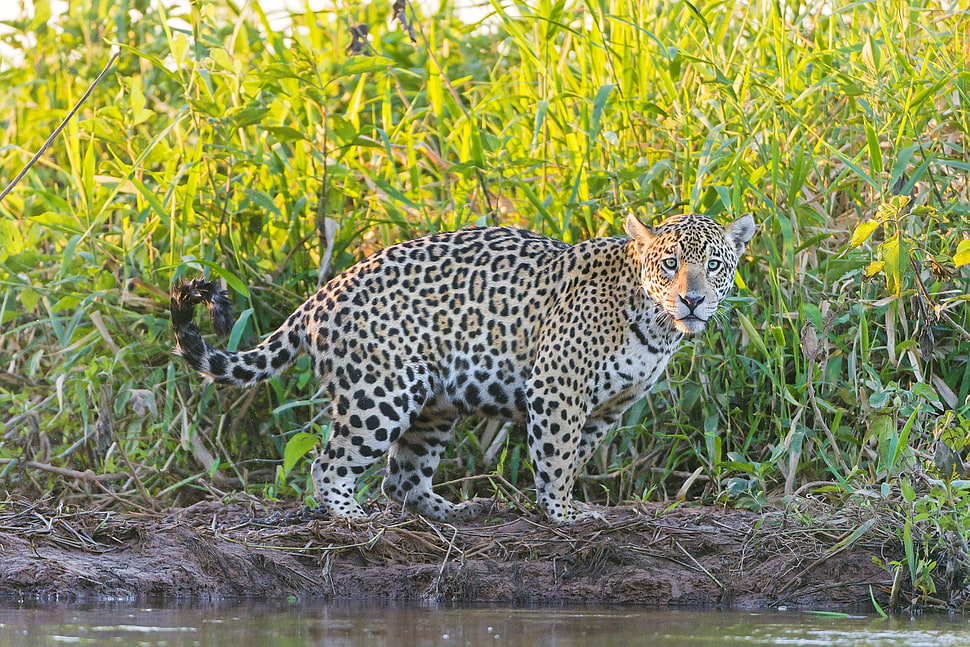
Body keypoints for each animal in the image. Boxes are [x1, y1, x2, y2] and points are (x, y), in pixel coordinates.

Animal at [171, 212, 755, 524]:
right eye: (670, 264)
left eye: (714, 266)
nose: (693, 301)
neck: (655, 326)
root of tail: (322, 295)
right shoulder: (557, 388)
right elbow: (557, 456)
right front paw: (563, 513)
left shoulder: (608, 408)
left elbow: (574, 456)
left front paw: (564, 503)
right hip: (381, 393)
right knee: (329, 462)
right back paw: (350, 517)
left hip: (433, 403)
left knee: (402, 476)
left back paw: (453, 511)